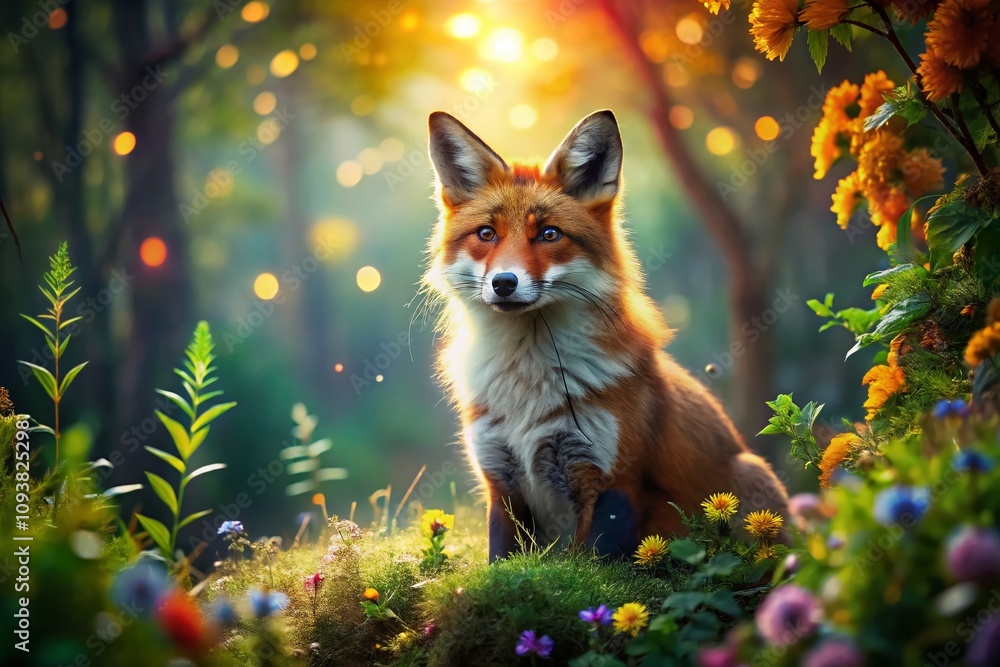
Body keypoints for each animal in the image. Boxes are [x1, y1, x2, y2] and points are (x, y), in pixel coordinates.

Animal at [423, 109, 789, 562]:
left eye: (549, 234)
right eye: (487, 234)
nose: (504, 283)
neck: (528, 386)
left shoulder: (612, 478)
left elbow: (594, 562)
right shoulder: (501, 482)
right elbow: (501, 560)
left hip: (750, 478)